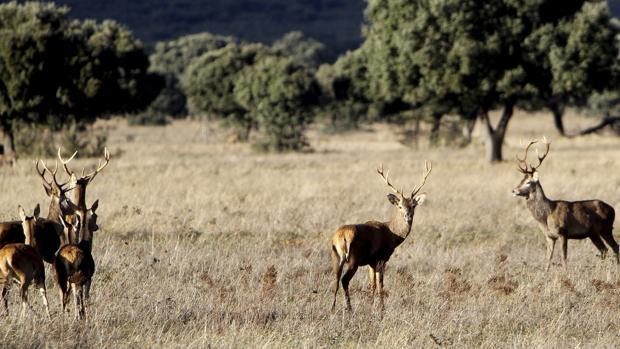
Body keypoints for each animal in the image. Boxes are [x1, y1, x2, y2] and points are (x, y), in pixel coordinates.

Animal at [330, 160, 432, 310]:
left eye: (413, 205)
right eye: (400, 206)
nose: (408, 216)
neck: (393, 235)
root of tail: (341, 237)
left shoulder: (371, 262)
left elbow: (372, 285)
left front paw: (371, 305)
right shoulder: (381, 258)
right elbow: (380, 285)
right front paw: (381, 309)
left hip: (336, 256)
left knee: (335, 279)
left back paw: (332, 308)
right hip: (354, 258)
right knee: (344, 280)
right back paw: (349, 308)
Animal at [512, 135, 616, 270]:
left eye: (528, 182)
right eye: (521, 180)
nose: (514, 190)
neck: (546, 216)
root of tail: (613, 209)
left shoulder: (563, 232)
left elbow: (563, 257)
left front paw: (566, 273)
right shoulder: (549, 236)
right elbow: (548, 259)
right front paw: (546, 272)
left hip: (606, 228)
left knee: (615, 247)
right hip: (593, 233)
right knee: (604, 250)